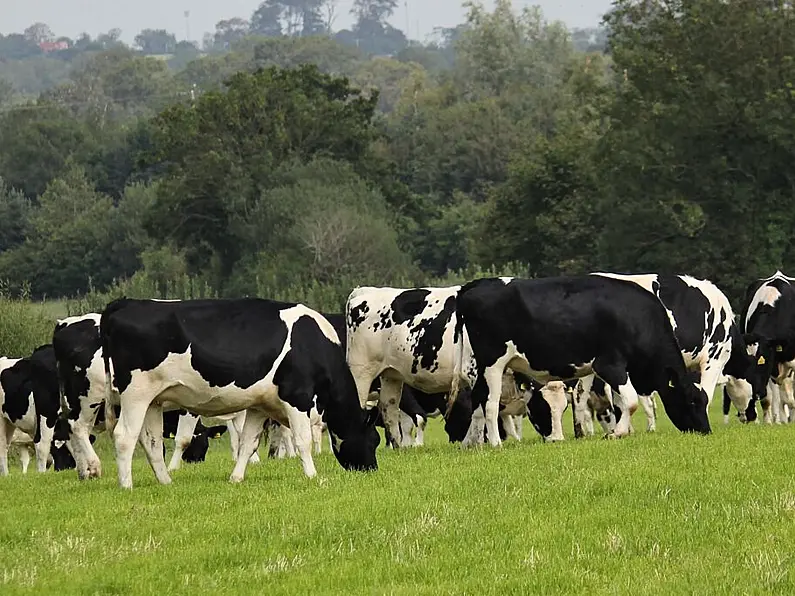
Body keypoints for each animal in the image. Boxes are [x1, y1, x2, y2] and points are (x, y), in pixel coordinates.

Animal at [101, 298, 380, 488]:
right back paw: (126, 485)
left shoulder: (259, 405)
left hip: (153, 400)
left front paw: (236, 477)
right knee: (124, 436)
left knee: (151, 441)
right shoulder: (297, 397)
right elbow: (303, 440)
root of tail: (126, 302)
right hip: (135, 393)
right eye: (372, 440)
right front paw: (312, 476)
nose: (371, 470)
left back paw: (165, 481)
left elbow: (249, 443)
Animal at [454, 274, 716, 442]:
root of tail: (475, 285)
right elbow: (630, 401)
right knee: (490, 403)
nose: (706, 430)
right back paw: (496, 444)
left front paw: (619, 430)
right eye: (691, 401)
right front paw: (616, 433)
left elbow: (620, 403)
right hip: (493, 363)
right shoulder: (610, 364)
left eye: (704, 402)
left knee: (478, 399)